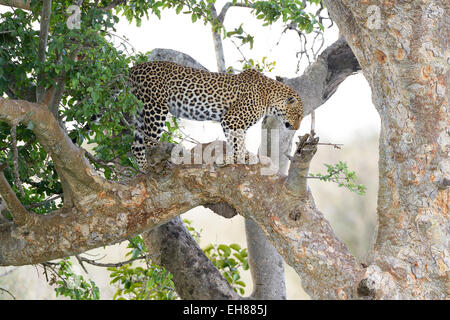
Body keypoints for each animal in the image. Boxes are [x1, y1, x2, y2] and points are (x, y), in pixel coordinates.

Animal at [127, 60, 302, 170]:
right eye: (299, 115)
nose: (296, 128)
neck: (269, 98)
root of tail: (132, 69)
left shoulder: (235, 123)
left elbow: (237, 141)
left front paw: (240, 156)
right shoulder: (232, 119)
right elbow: (238, 143)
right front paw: (238, 158)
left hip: (140, 111)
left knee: (136, 145)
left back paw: (144, 168)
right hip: (156, 108)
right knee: (148, 142)